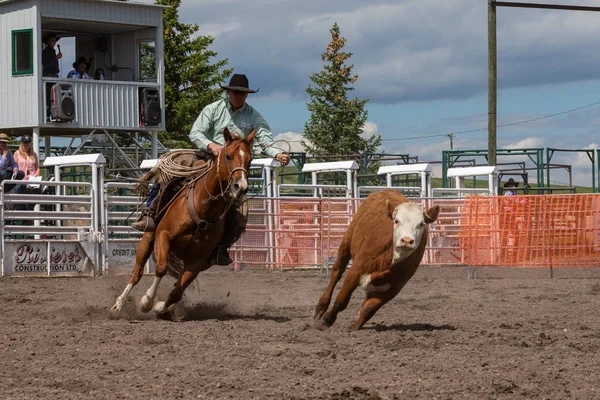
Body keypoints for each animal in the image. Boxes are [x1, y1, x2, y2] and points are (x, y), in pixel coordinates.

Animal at [110, 130, 255, 318]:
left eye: (250, 160)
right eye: (228, 156)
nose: (241, 187)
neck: (203, 210)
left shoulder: (197, 262)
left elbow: (178, 291)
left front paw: (162, 308)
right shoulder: (163, 236)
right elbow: (161, 268)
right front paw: (147, 302)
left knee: (177, 283)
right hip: (148, 239)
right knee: (137, 272)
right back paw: (118, 305)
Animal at [314, 189, 440, 330]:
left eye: (421, 224)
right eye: (396, 221)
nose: (407, 241)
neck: (386, 261)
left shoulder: (392, 289)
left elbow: (369, 309)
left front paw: (354, 327)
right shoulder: (354, 272)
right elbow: (342, 301)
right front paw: (327, 320)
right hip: (347, 241)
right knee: (337, 272)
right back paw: (321, 306)